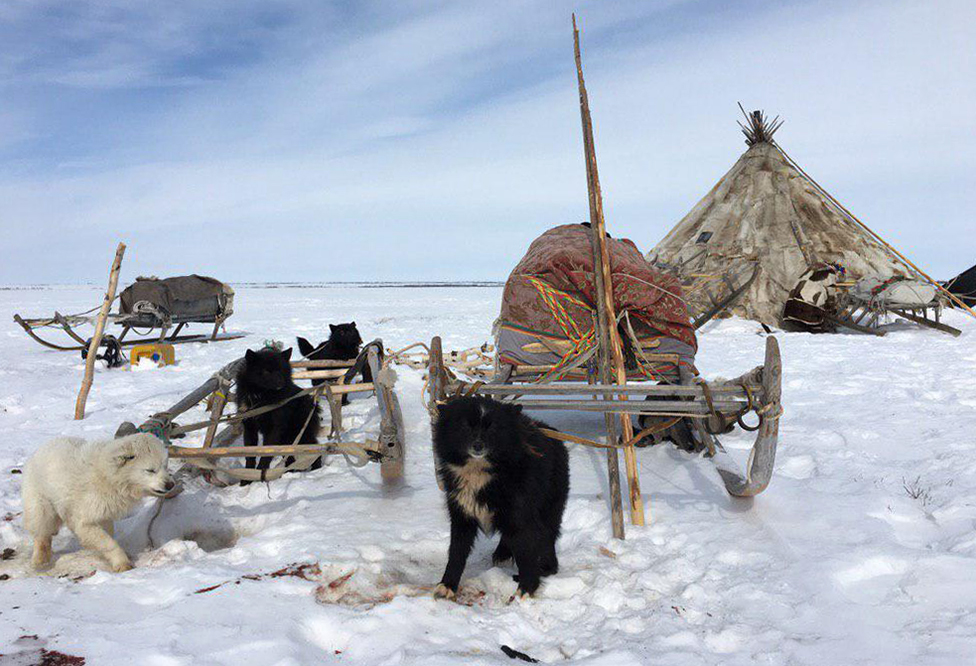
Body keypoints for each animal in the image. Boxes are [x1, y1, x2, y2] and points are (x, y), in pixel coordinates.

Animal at [22, 430, 175, 572]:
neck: (108, 476)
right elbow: (106, 541)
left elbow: (107, 532)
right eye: (150, 470)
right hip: (40, 501)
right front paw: (122, 563)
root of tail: (40, 449)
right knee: (42, 529)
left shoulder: (103, 512)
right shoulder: (86, 517)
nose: (170, 485)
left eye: (165, 466)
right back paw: (40, 559)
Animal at [237, 344, 322, 480]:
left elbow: (266, 454)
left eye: (281, 370)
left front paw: (260, 476)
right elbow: (250, 456)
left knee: (315, 449)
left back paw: (316, 471)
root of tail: (312, 401)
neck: (261, 398)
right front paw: (247, 480)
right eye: (266, 371)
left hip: (299, 434)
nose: (280, 383)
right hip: (286, 439)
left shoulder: (274, 429)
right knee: (290, 458)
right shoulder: (249, 428)